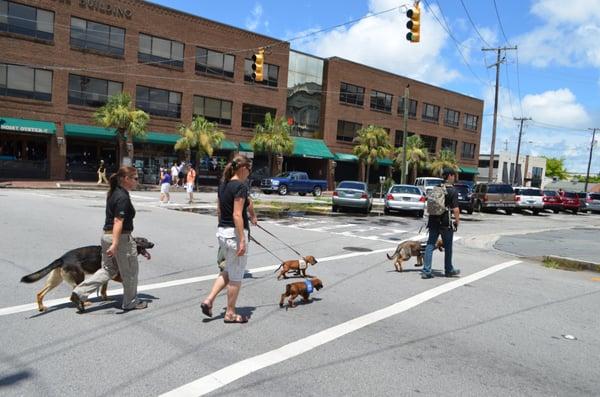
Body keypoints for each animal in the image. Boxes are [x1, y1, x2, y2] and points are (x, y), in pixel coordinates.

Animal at [20, 237, 154, 310]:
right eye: (143, 241)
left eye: (147, 240)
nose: (153, 244)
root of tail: (62, 258)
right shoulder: (115, 275)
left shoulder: (106, 275)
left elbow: (104, 288)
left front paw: (105, 298)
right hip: (79, 278)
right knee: (76, 292)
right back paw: (84, 302)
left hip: (56, 281)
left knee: (40, 293)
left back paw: (41, 307)